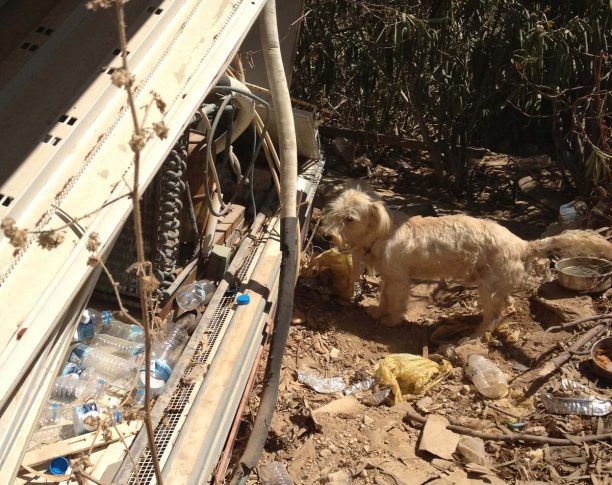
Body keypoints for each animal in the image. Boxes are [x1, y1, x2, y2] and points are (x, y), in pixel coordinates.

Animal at [320, 187, 612, 334]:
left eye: (350, 219)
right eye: (333, 211)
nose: (326, 236)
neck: (385, 231)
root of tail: (523, 244)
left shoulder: (400, 280)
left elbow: (396, 302)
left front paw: (391, 321)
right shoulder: (389, 277)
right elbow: (383, 298)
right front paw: (378, 312)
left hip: (488, 287)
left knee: (492, 315)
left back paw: (473, 336)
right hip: (498, 284)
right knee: (505, 305)